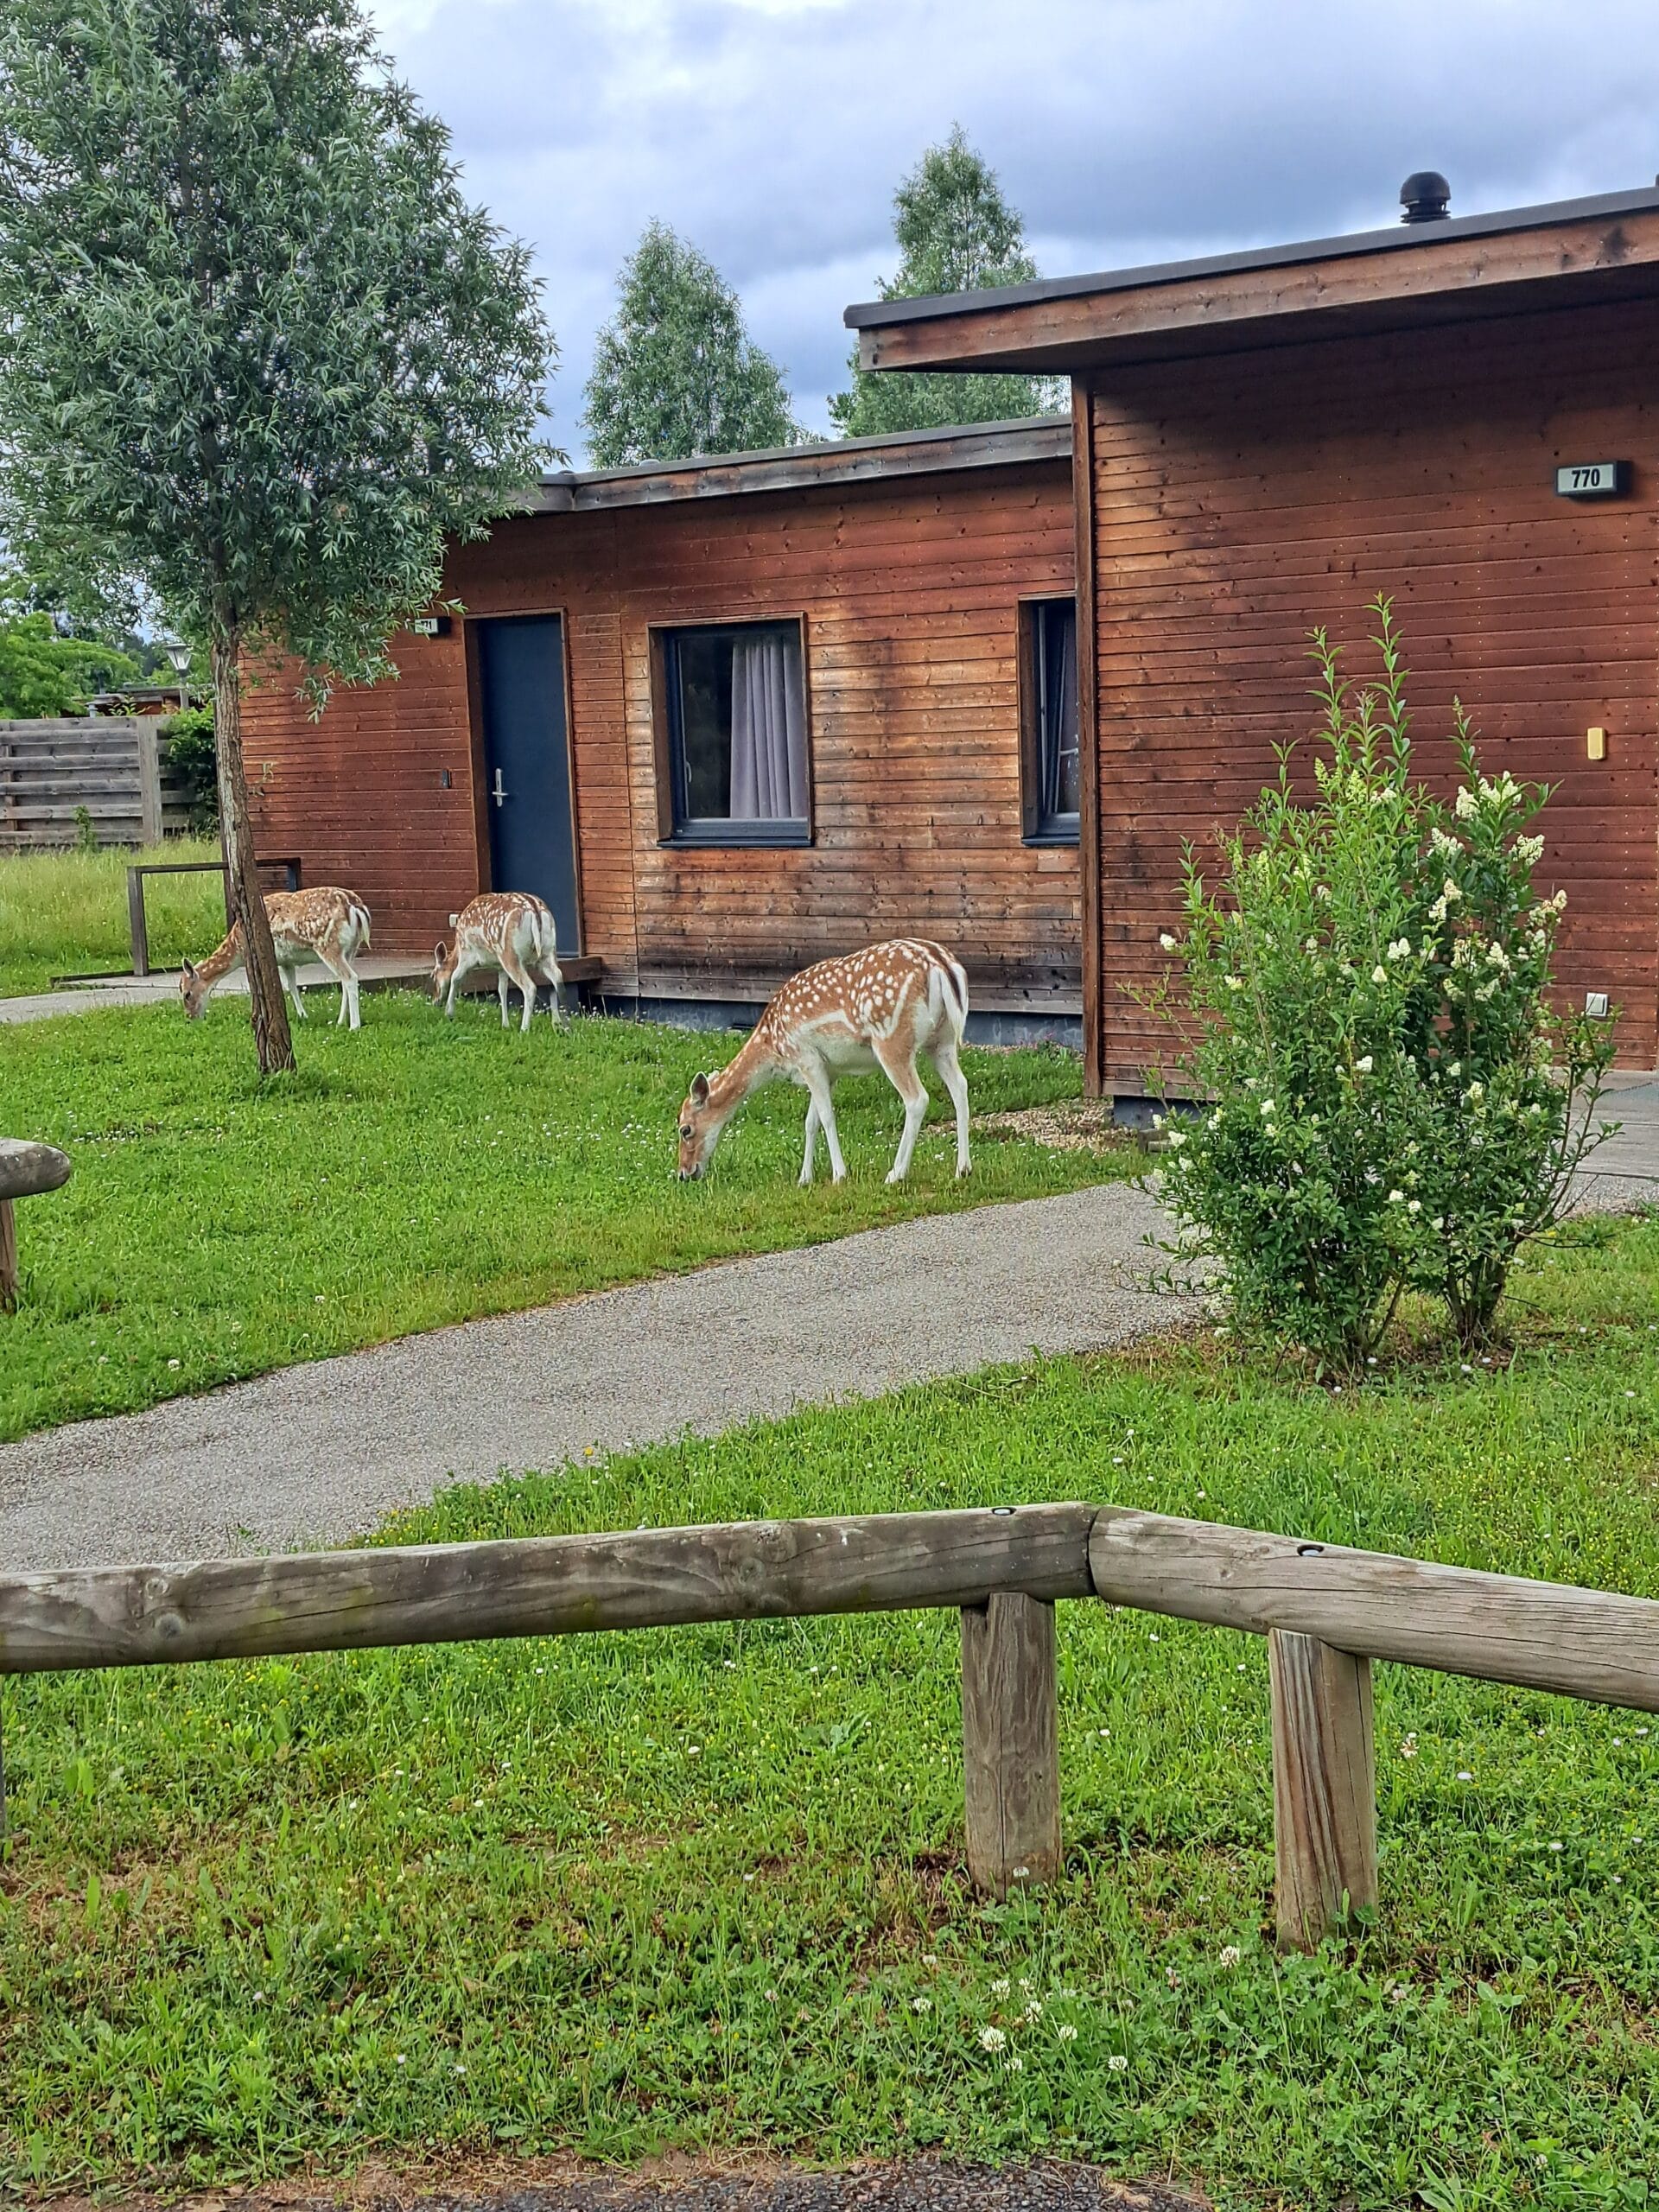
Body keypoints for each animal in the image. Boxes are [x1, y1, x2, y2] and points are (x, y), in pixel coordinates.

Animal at [183, 880, 376, 1026]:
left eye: (187, 994)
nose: (191, 1018)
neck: (237, 946)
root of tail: (354, 906)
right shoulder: (286, 960)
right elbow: (291, 985)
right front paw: (303, 1016)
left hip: (327, 945)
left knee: (350, 977)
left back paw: (354, 1026)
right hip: (351, 949)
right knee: (345, 980)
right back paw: (340, 1022)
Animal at [431, 889, 570, 1035]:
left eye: (433, 976)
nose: (435, 1001)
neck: (457, 948)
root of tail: (534, 910)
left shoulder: (468, 954)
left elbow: (455, 977)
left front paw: (449, 1014)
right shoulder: (500, 967)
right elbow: (502, 989)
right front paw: (505, 1025)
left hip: (510, 953)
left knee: (530, 987)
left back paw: (524, 1029)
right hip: (548, 951)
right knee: (557, 977)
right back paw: (562, 1026)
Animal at [672, 938, 969, 1185]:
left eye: (685, 1129)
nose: (684, 1173)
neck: (773, 1048)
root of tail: (940, 965)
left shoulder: (806, 1057)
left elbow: (826, 1116)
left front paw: (839, 1174)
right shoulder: (829, 1068)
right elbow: (810, 1121)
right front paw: (805, 1178)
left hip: (891, 1037)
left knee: (917, 1099)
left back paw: (896, 1174)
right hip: (942, 1040)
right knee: (960, 1086)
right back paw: (962, 1169)